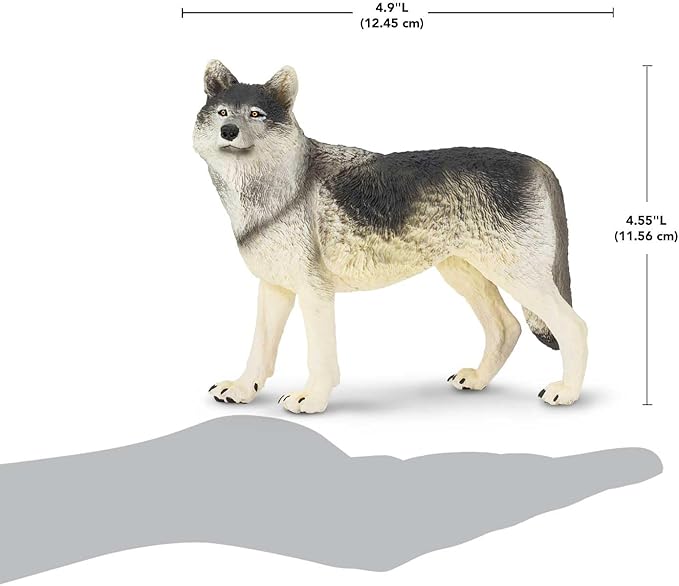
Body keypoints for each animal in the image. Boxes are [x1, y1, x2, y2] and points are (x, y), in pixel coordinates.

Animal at [193, 61, 588, 413]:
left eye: (256, 114)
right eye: (223, 112)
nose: (228, 130)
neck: (281, 185)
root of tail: (536, 163)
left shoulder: (314, 292)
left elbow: (320, 356)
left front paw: (313, 399)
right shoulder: (274, 289)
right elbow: (259, 349)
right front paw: (243, 389)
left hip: (517, 278)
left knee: (573, 326)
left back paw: (567, 392)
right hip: (464, 274)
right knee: (507, 327)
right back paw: (478, 380)